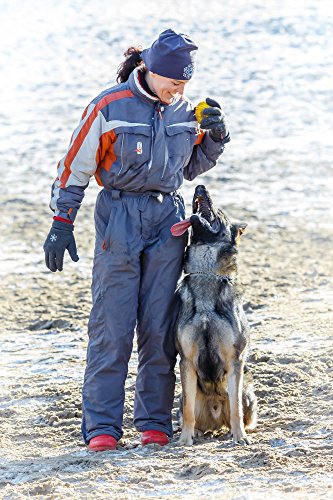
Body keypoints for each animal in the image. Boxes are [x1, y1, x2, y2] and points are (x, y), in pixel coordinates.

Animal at [171, 184, 256, 446]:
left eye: (219, 211)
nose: (200, 185)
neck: (206, 275)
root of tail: (216, 415)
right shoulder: (187, 361)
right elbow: (188, 410)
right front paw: (185, 440)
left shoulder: (235, 361)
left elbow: (236, 408)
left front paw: (240, 437)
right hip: (182, 398)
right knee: (188, 410)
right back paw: (197, 432)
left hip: (247, 391)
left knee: (239, 410)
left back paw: (233, 431)